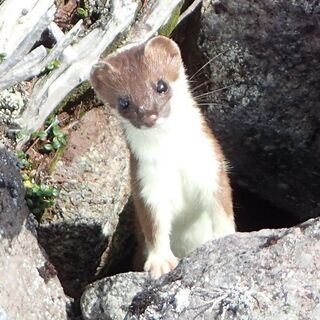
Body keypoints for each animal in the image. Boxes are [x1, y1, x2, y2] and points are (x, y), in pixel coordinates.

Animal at [90, 37, 235, 278]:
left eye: (161, 85)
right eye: (123, 102)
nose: (149, 115)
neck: (172, 156)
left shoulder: (210, 163)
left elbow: (221, 205)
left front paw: (225, 236)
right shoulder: (145, 181)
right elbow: (153, 224)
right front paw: (160, 262)